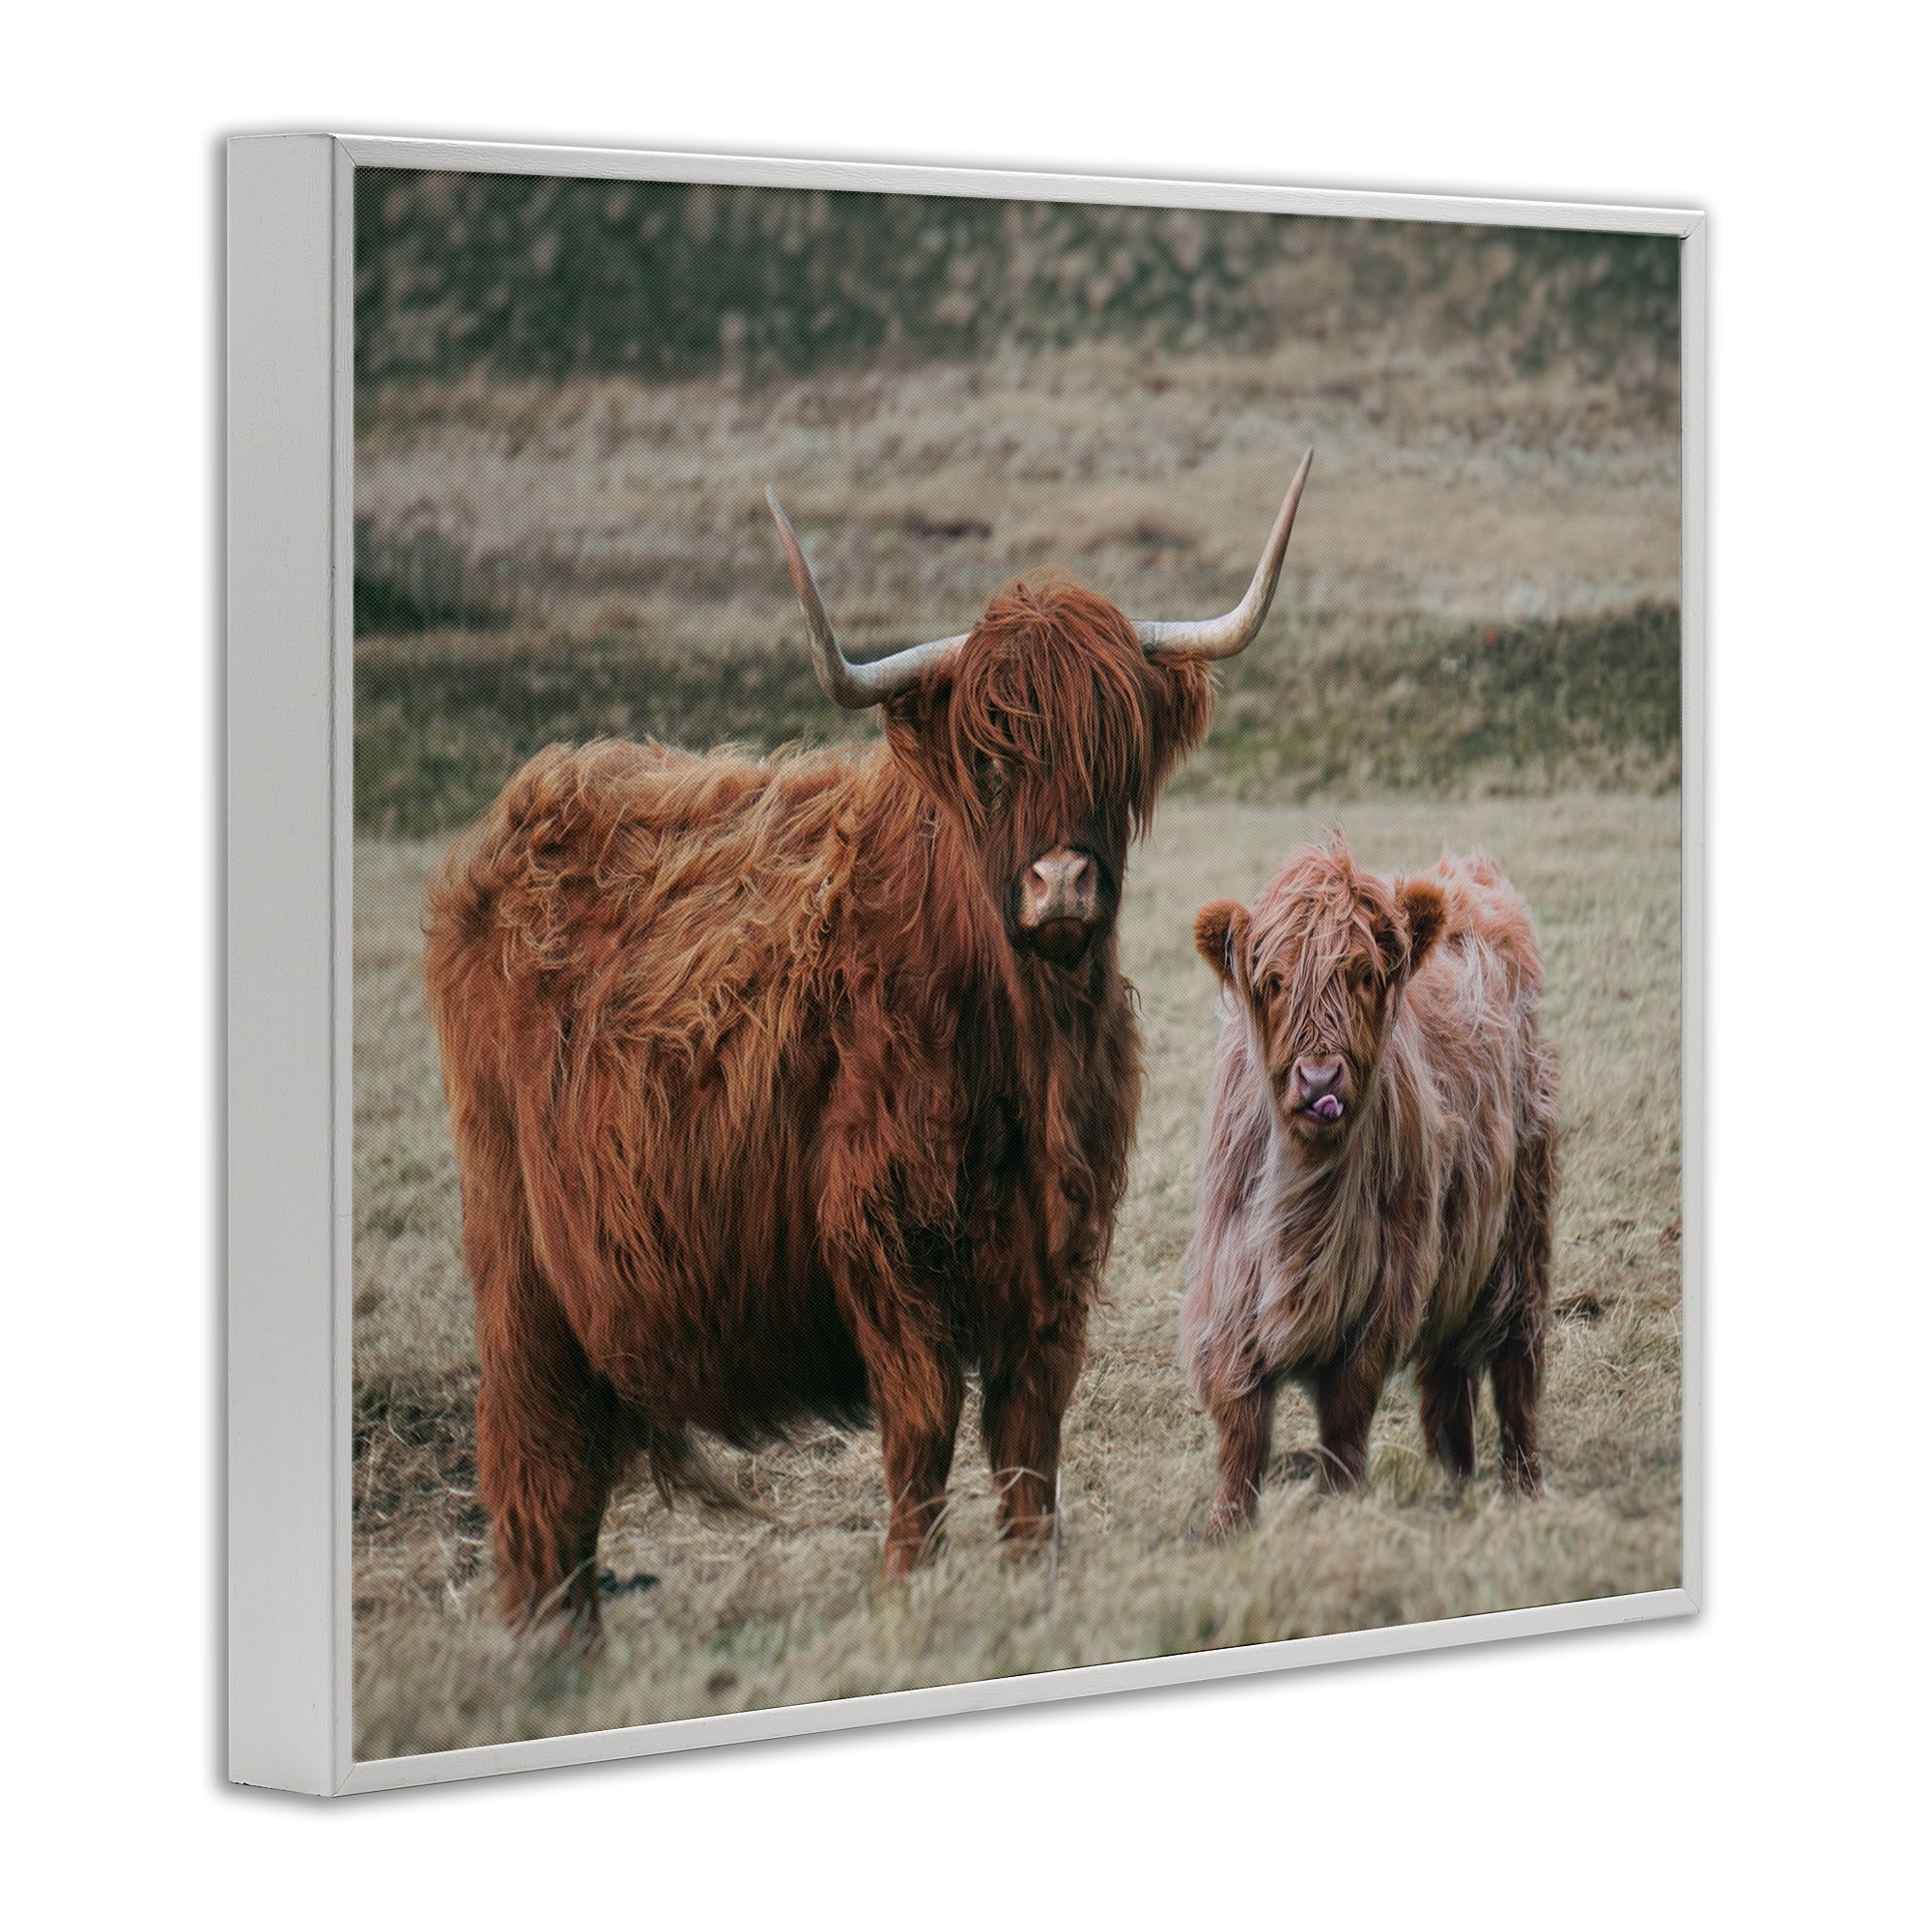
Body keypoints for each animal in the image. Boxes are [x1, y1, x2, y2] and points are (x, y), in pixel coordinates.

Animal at [423, 453, 1315, 1642]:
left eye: (1113, 751)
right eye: (988, 759)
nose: (1061, 884)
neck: (1019, 1048)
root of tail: (529, 807)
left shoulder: (1056, 1251)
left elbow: (1029, 1434)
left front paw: (1030, 1578)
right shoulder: (884, 1238)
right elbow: (923, 1424)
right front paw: (904, 1587)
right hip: (516, 1246)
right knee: (535, 1453)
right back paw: (549, 1644)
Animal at [1181, 838, 1558, 1538]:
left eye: (1362, 974)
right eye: (1274, 982)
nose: (1319, 1078)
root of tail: (1466, 873)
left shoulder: (1382, 1291)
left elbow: (1345, 1415)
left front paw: (1338, 1507)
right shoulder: (1231, 1284)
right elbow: (1240, 1422)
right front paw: (1227, 1528)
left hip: (1522, 1223)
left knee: (1517, 1361)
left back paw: (1523, 1488)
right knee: (1447, 1375)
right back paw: (1452, 1484)